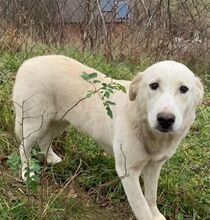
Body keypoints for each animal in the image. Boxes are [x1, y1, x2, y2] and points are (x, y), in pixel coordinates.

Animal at [12, 55, 203, 219]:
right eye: (154, 85)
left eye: (184, 89)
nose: (165, 119)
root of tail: (28, 62)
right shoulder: (128, 172)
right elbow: (141, 206)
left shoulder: (154, 166)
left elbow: (151, 197)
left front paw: (156, 215)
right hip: (35, 123)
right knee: (23, 148)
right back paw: (27, 172)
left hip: (60, 121)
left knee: (45, 141)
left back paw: (51, 159)